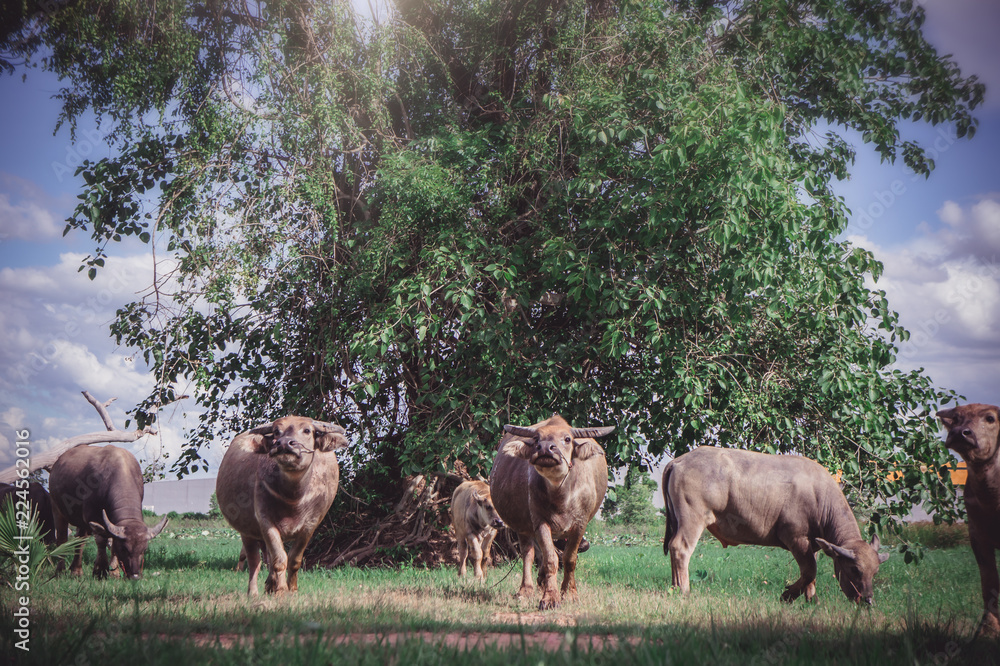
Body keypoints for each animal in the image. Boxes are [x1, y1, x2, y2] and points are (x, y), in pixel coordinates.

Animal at [48, 444, 168, 580]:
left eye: (144, 549)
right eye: (124, 548)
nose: (135, 576)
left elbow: (111, 542)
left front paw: (114, 572)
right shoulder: (92, 516)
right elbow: (102, 541)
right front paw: (100, 570)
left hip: (81, 522)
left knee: (80, 540)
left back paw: (76, 571)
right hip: (57, 509)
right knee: (62, 539)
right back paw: (60, 571)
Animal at [215, 412, 348, 592]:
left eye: (307, 430)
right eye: (277, 432)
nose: (284, 443)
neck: (293, 498)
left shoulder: (310, 526)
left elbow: (294, 560)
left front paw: (292, 589)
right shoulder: (265, 522)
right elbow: (279, 559)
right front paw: (281, 590)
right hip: (246, 531)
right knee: (254, 561)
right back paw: (254, 592)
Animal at [488, 412, 612, 608]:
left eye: (567, 439)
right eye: (536, 439)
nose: (545, 448)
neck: (560, 495)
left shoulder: (580, 524)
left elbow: (569, 559)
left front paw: (569, 594)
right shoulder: (540, 522)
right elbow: (550, 559)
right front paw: (550, 597)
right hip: (523, 527)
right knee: (528, 554)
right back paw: (526, 590)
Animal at [664, 446, 892, 600]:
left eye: (875, 572)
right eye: (855, 570)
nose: (868, 600)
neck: (819, 497)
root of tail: (679, 461)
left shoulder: (811, 545)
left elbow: (811, 574)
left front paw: (811, 600)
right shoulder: (795, 538)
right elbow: (810, 570)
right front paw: (788, 596)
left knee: (672, 548)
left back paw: (674, 587)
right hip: (692, 519)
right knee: (680, 548)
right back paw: (684, 590)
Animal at [936, 400, 1000, 632]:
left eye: (990, 418)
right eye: (956, 418)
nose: (959, 433)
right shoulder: (976, 536)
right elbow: (989, 584)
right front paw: (988, 629)